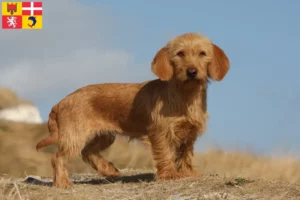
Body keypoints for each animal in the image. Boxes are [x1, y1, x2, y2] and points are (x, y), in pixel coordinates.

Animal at [37, 32, 230, 188]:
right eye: (180, 53)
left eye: (202, 54)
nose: (192, 71)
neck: (184, 95)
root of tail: (61, 102)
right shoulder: (160, 132)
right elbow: (165, 154)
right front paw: (169, 174)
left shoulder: (189, 133)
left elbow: (185, 154)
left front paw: (186, 173)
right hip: (75, 136)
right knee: (58, 157)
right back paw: (62, 183)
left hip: (104, 136)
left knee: (88, 152)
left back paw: (108, 170)